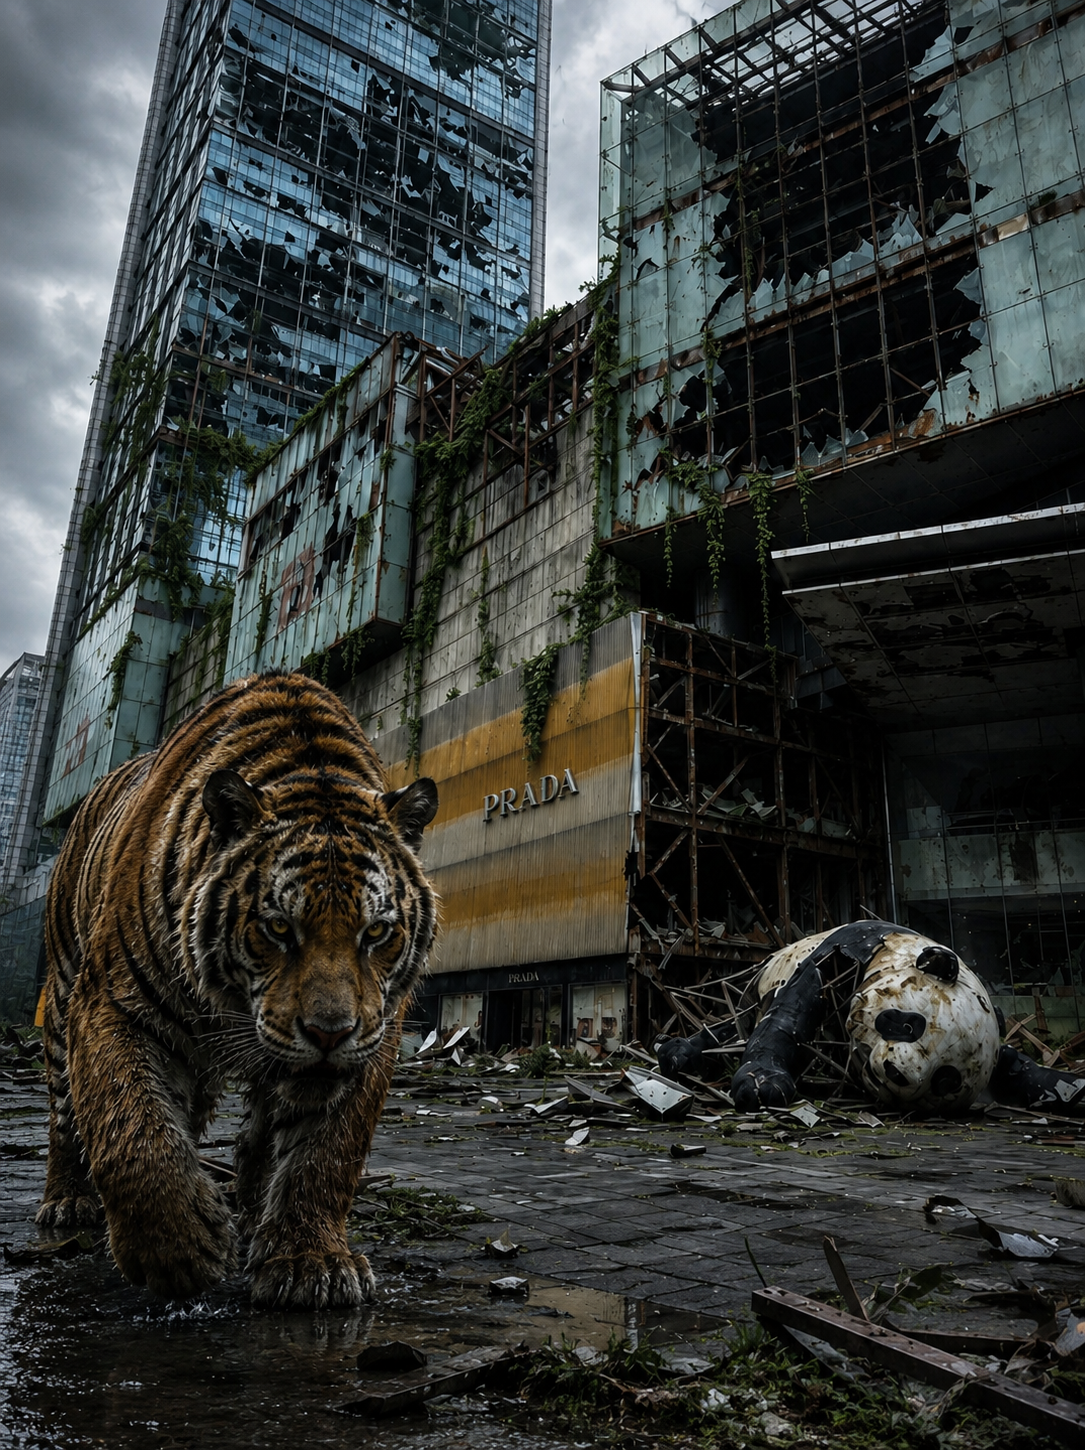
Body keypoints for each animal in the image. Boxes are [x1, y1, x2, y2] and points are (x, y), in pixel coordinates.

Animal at [36, 671, 438, 1309]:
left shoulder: (377, 1033)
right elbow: (131, 1128)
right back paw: (68, 1200)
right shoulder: (110, 1004)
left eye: (376, 932)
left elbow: (327, 1152)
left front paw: (309, 1260)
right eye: (278, 928)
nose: (330, 1033)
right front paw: (177, 1251)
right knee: (63, 1111)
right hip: (61, 994)